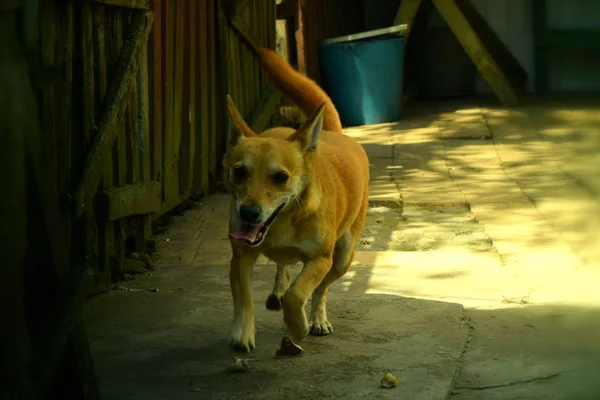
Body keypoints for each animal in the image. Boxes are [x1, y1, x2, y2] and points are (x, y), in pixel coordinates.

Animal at [221, 47, 368, 354]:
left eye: (281, 177)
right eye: (239, 171)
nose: (248, 213)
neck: (283, 221)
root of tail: (332, 133)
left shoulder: (320, 259)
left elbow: (299, 293)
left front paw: (299, 326)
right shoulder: (240, 257)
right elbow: (245, 298)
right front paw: (242, 334)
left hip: (342, 257)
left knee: (322, 288)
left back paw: (317, 319)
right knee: (283, 268)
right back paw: (278, 288)